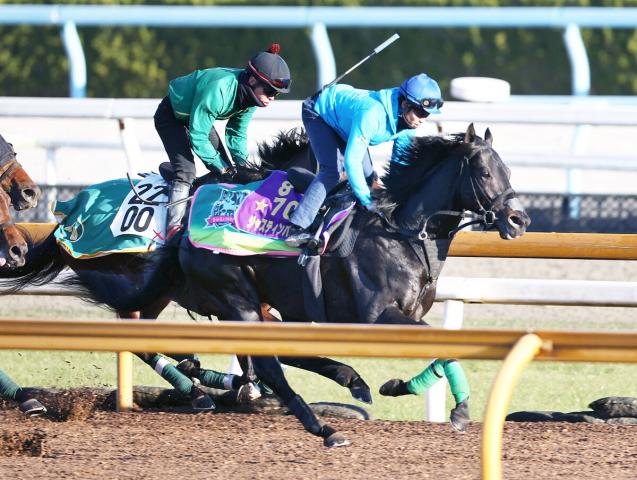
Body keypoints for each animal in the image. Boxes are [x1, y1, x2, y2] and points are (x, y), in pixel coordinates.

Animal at [67, 123, 528, 446]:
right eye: (484, 172)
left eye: (508, 169)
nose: (519, 219)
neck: (400, 231)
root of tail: (183, 230)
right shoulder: (375, 316)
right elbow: (442, 347)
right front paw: (458, 408)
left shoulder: (406, 315)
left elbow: (442, 349)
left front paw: (409, 388)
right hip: (238, 298)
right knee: (267, 363)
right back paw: (321, 425)